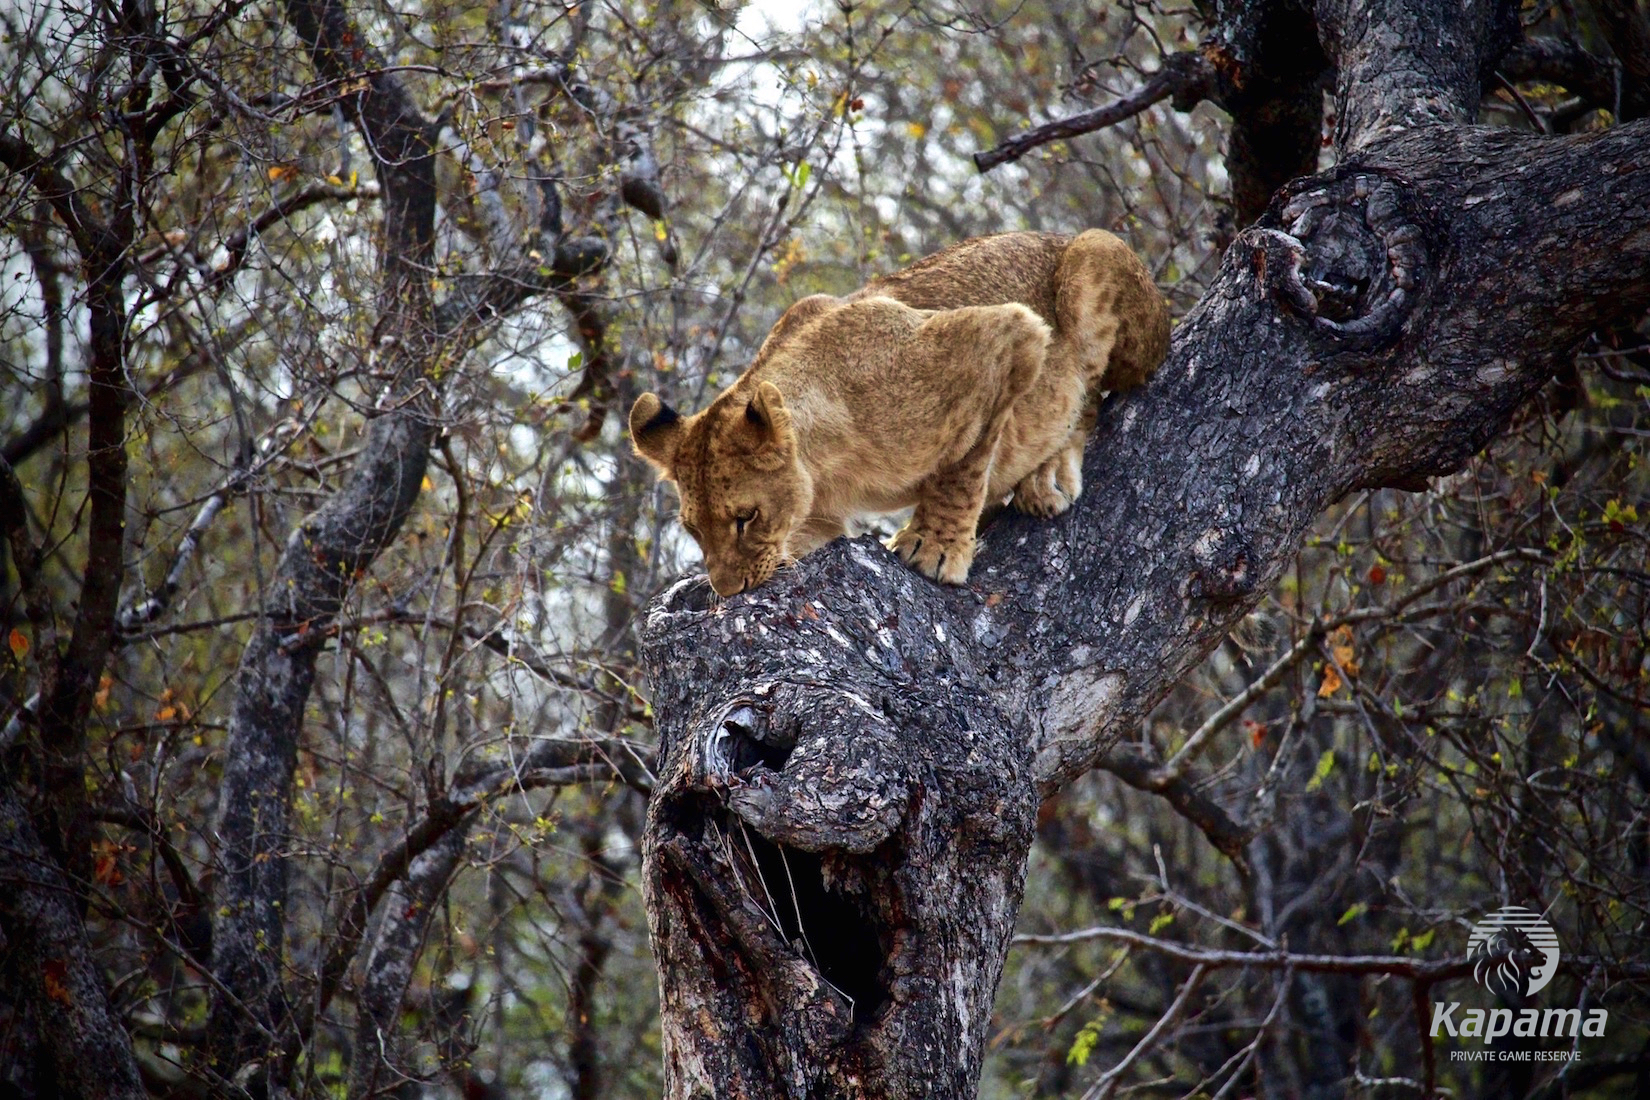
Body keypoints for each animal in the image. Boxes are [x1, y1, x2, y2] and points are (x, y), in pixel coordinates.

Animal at [629, 230, 1170, 597]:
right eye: (694, 530)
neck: (826, 461)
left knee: (1091, 394)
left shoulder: (1004, 332)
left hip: (1094, 255)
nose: (729, 591)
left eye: (746, 517)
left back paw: (1046, 474)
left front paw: (933, 547)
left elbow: (963, 465)